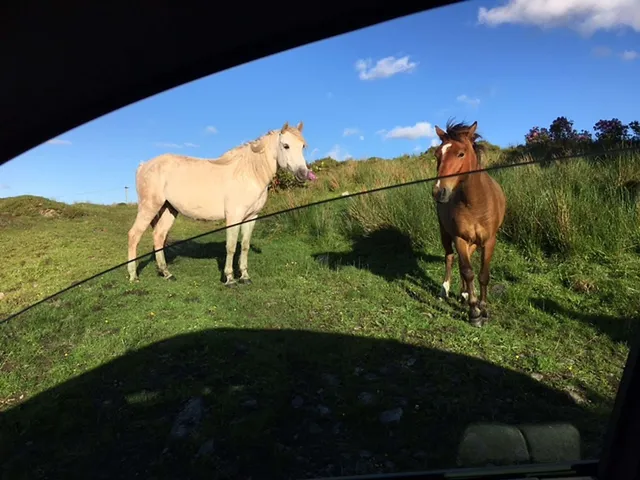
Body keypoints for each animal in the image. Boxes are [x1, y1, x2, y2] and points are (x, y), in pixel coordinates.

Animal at [126, 121, 315, 286]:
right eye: (285, 145)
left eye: (302, 146)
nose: (303, 173)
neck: (249, 173)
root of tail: (144, 165)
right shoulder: (234, 217)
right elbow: (231, 247)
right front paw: (230, 279)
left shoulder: (251, 217)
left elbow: (244, 246)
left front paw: (245, 277)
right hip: (149, 206)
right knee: (134, 235)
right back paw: (133, 276)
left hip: (169, 209)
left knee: (159, 236)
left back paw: (167, 273)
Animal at [431, 120, 506, 327]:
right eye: (437, 154)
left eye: (461, 153)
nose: (439, 192)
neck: (476, 203)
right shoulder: (459, 238)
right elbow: (468, 271)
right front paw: (474, 313)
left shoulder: (489, 241)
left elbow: (483, 275)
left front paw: (484, 308)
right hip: (445, 233)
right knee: (450, 258)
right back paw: (445, 290)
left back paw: (464, 293)